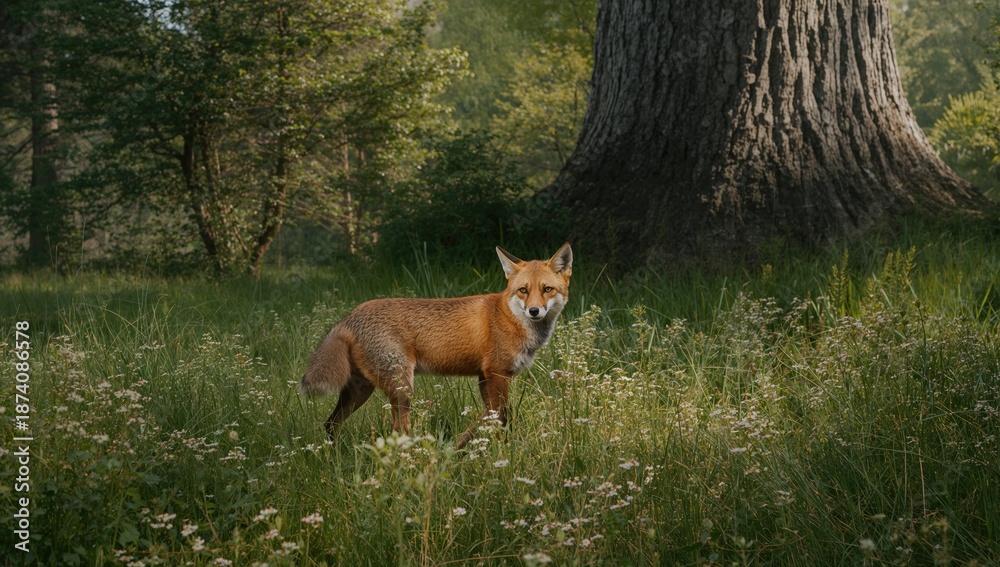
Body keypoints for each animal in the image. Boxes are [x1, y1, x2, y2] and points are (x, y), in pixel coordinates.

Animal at [300, 243, 573, 447]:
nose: (534, 311)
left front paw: (458, 447)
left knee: (330, 424)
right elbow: (502, 417)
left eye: (547, 289)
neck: (510, 317)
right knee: (396, 431)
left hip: (360, 389)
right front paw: (503, 453)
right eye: (523, 290)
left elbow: (487, 416)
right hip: (401, 389)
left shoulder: (484, 377)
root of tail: (349, 317)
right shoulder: (497, 373)